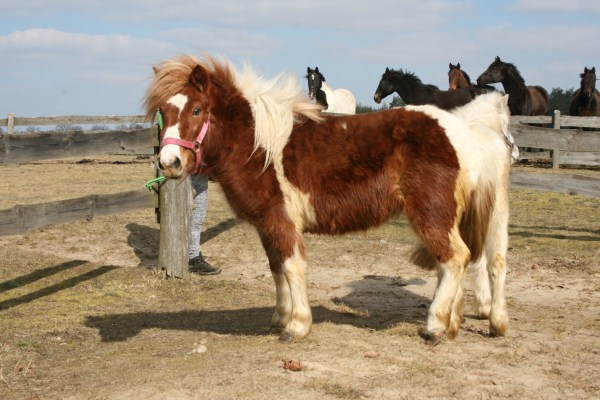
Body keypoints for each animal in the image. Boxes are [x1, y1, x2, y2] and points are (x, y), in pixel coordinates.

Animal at [146, 54, 513, 345]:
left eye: (197, 109)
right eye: (163, 111)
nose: (169, 162)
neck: (258, 144)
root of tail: (466, 131)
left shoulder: (282, 220)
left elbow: (292, 267)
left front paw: (297, 326)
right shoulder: (267, 224)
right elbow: (276, 268)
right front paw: (280, 318)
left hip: (432, 213)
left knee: (455, 258)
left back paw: (436, 327)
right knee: (486, 260)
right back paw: (473, 323)